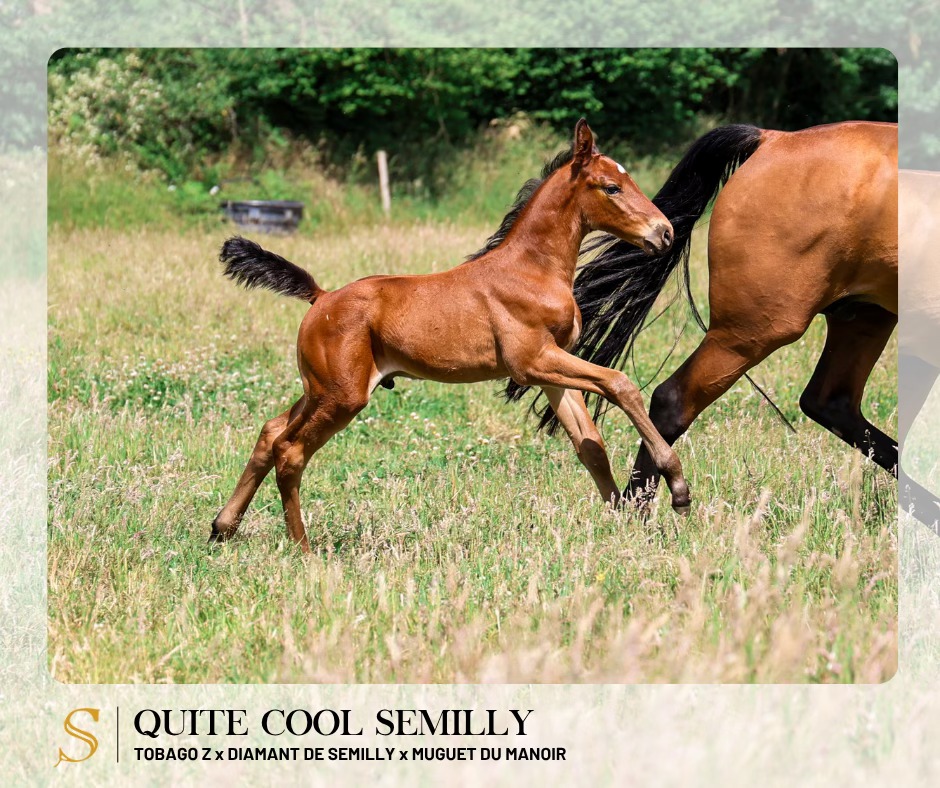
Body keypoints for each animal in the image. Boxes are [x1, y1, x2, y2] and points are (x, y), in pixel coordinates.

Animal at [209, 119, 690, 552]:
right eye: (612, 187)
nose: (664, 232)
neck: (531, 270)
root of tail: (321, 298)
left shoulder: (552, 373)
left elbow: (591, 446)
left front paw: (626, 522)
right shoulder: (532, 362)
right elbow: (620, 384)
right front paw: (677, 484)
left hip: (320, 389)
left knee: (271, 433)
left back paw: (222, 527)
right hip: (342, 396)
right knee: (290, 451)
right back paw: (303, 550)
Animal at [507, 121, 898, 507]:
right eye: (612, 187)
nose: (663, 232)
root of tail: (772, 138)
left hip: (864, 317)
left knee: (832, 403)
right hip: (754, 329)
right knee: (673, 399)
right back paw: (648, 506)